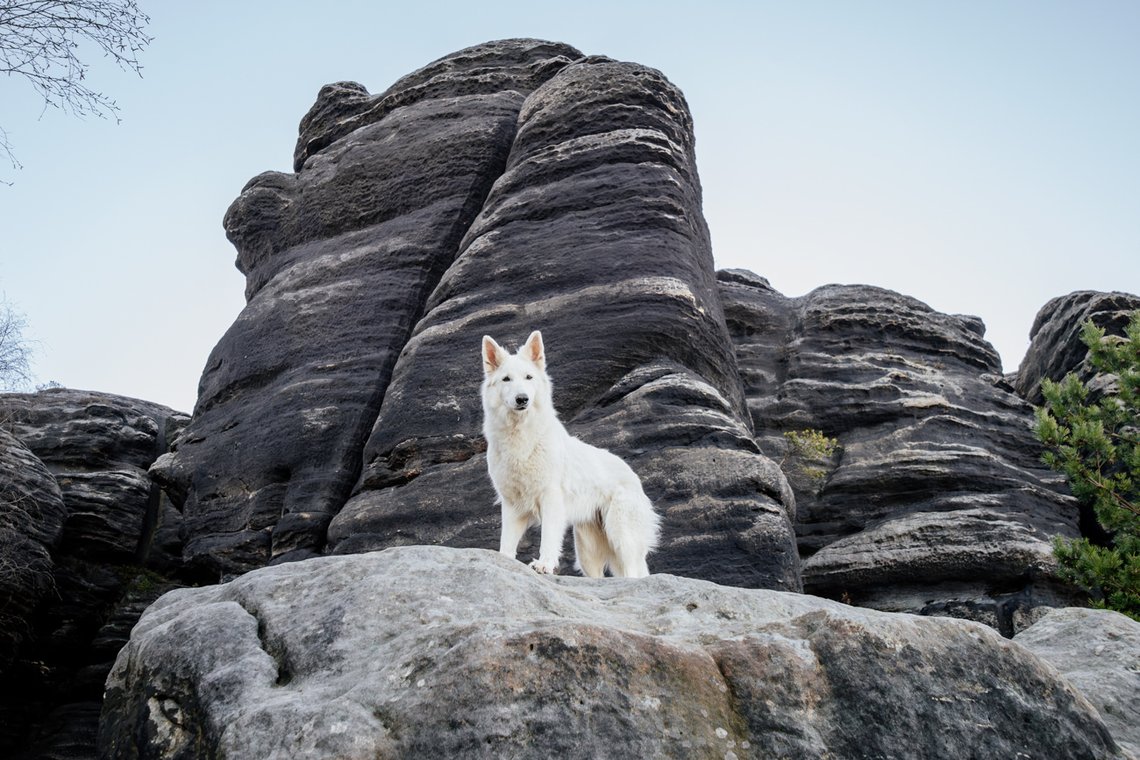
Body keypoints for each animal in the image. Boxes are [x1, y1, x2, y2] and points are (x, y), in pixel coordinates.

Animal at [478, 330, 661, 576]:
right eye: (506, 379)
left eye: (528, 377)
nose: (522, 399)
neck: (521, 436)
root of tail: (633, 475)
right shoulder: (512, 505)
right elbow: (507, 543)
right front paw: (504, 561)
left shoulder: (551, 498)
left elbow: (548, 538)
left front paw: (544, 565)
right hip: (586, 550)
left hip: (622, 538)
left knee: (632, 572)